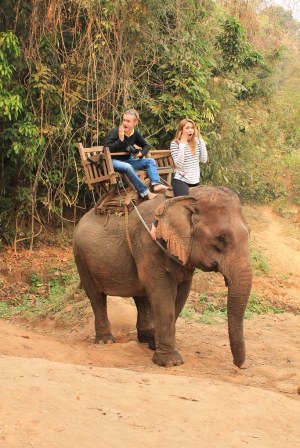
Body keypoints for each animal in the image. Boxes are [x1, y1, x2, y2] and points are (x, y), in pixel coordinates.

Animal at [74, 186, 252, 368]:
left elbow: (181, 294)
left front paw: (154, 345)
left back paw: (146, 338)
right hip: (81, 258)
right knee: (96, 297)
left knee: (141, 297)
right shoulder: (148, 243)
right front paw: (170, 362)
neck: (187, 197)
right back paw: (106, 341)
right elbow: (162, 294)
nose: (239, 365)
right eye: (221, 238)